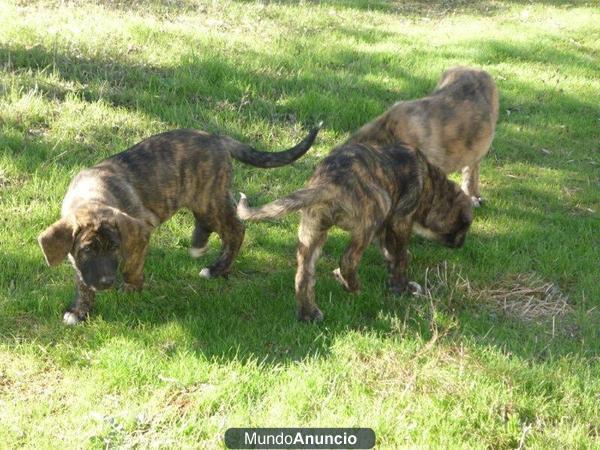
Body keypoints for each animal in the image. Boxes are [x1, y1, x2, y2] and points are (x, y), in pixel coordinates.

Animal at [39, 125, 322, 326]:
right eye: (87, 250)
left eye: (114, 248)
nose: (107, 282)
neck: (93, 197)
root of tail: (217, 138)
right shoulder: (79, 257)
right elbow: (83, 281)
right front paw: (80, 310)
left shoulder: (139, 232)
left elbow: (131, 266)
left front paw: (132, 286)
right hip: (205, 197)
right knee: (215, 223)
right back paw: (199, 244)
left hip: (208, 198)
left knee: (235, 229)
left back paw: (216, 268)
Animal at [237, 142, 472, 322]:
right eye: (465, 226)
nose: (461, 245)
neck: (432, 188)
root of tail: (328, 182)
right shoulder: (400, 219)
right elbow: (401, 256)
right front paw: (403, 288)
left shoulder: (385, 228)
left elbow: (391, 252)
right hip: (374, 211)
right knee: (348, 260)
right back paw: (352, 285)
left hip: (312, 229)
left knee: (303, 275)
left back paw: (308, 314)